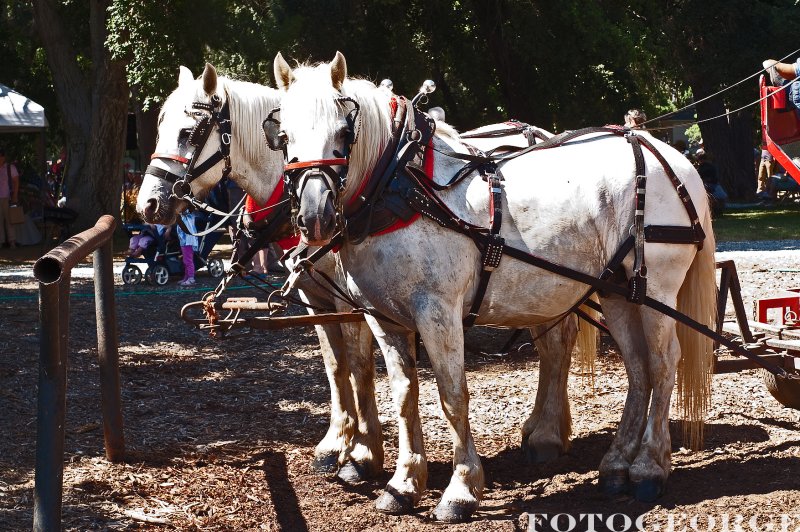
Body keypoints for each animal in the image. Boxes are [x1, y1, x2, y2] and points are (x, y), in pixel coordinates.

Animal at [272, 52, 716, 520]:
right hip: (617, 291)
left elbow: (452, 396)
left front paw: (461, 489)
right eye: (283, 135)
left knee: (663, 364)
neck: (401, 186)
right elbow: (404, 396)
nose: (314, 215)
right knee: (637, 367)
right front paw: (404, 483)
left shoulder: (437, 313)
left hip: (656, 290)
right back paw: (617, 464)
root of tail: (666, 153)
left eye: (344, 131)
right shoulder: (383, 318)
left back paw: (648, 466)